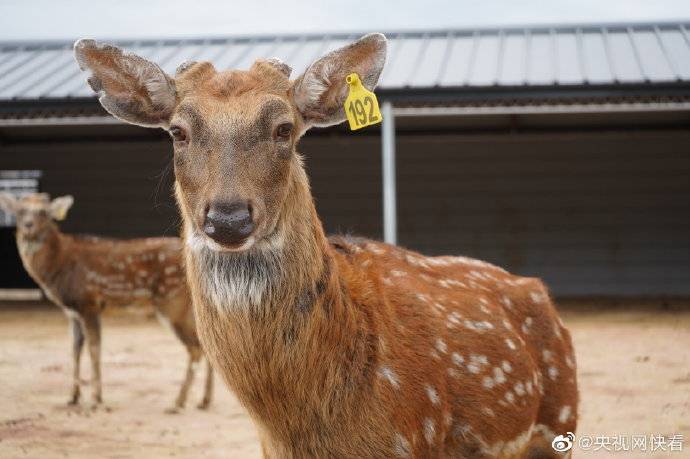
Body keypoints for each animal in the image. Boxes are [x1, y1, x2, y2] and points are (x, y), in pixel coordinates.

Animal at [0, 192, 212, 412]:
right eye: (20, 210)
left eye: (43, 212)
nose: (28, 225)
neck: (59, 264)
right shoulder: (72, 312)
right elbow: (75, 349)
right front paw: (73, 397)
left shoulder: (89, 302)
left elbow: (94, 348)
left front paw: (96, 399)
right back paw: (203, 401)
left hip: (173, 302)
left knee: (195, 348)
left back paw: (179, 401)